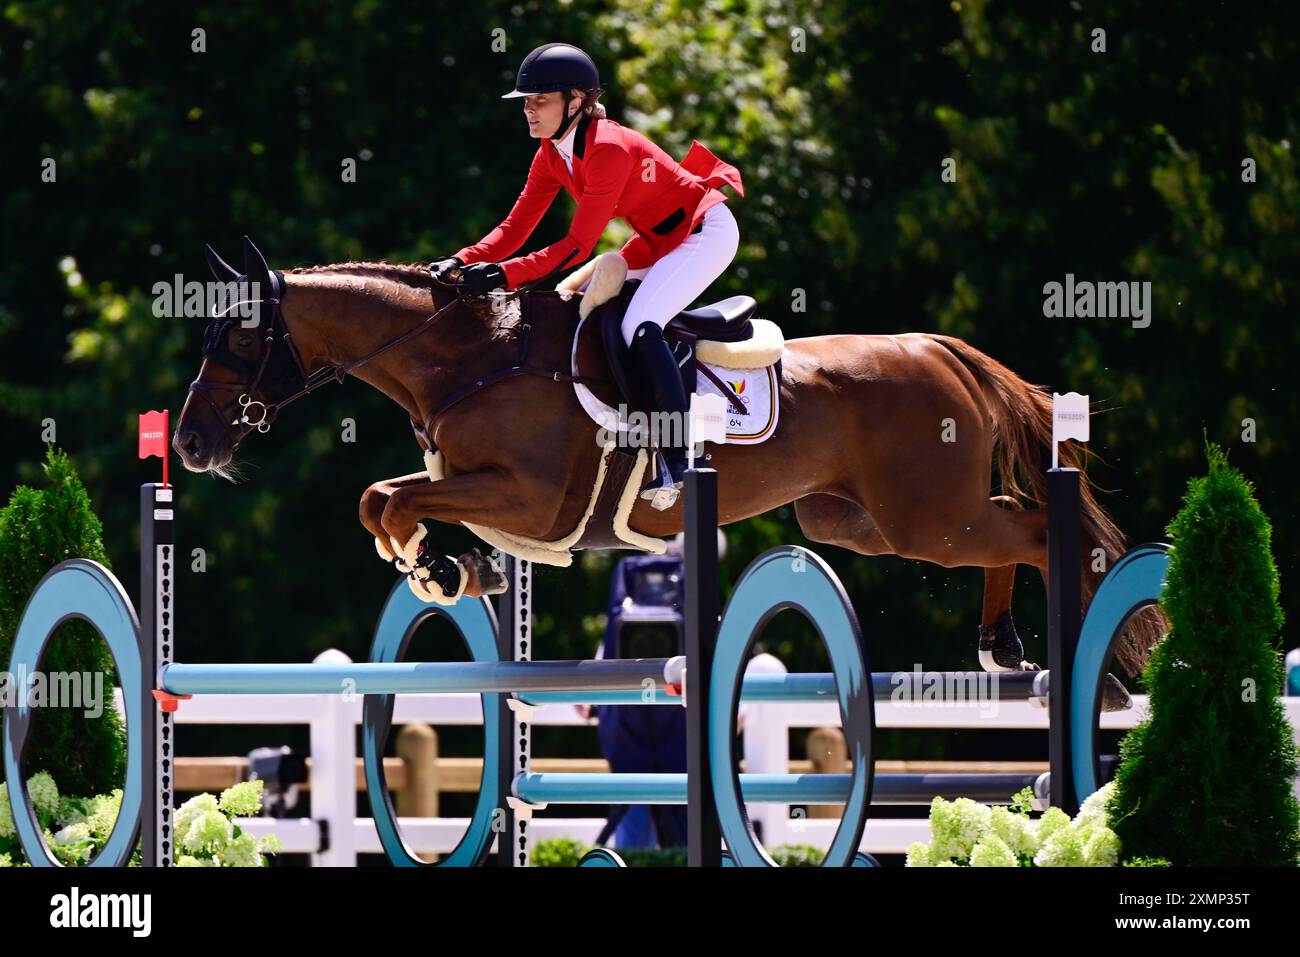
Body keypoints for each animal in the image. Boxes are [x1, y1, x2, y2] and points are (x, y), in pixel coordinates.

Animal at [172, 236, 1159, 676]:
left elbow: (395, 498)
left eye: (237, 338)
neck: (473, 356)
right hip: (859, 523)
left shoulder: (529, 499)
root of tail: (940, 349)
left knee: (1033, 533)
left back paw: (1075, 650)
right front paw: (452, 568)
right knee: (1009, 535)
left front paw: (440, 568)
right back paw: (1003, 646)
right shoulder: (485, 491)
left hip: (928, 517)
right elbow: (385, 500)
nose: (187, 442)